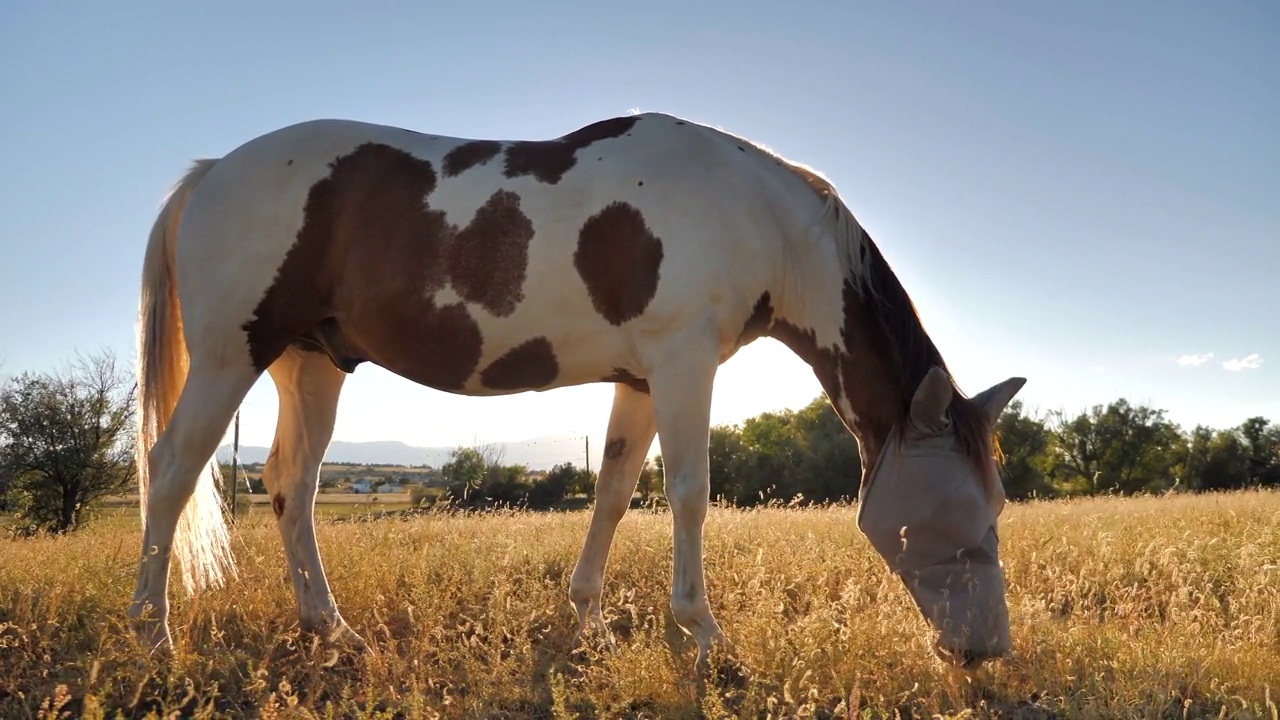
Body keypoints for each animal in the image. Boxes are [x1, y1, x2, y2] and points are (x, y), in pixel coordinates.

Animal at [129, 109, 1024, 671]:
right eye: (960, 515)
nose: (987, 653)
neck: (754, 217)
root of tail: (212, 173)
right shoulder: (684, 364)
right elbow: (690, 493)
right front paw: (704, 634)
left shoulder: (642, 379)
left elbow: (614, 492)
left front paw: (588, 620)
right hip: (229, 357)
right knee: (171, 473)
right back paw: (153, 636)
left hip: (309, 364)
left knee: (293, 487)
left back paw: (329, 629)